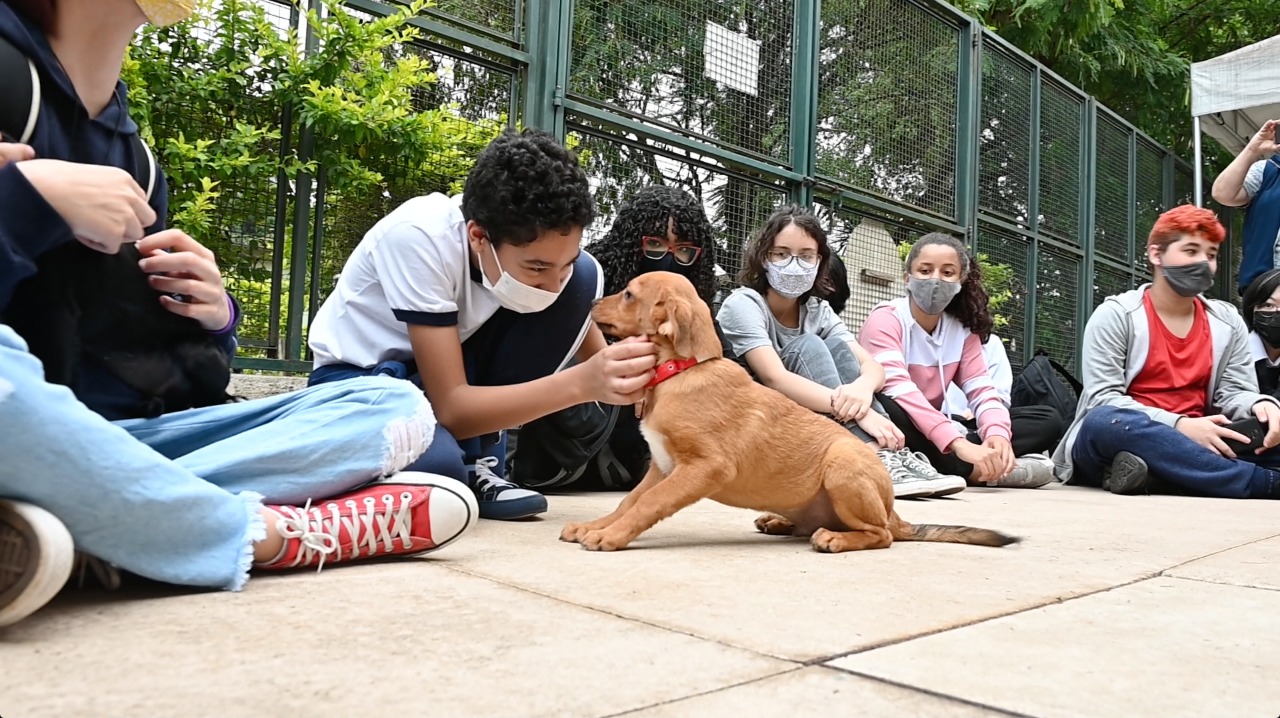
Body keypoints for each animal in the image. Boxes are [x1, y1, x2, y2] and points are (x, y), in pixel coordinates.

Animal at [560, 271, 1018, 550]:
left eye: (629, 294)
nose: (591, 302)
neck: (682, 370)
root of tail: (894, 510)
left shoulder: (703, 467)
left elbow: (647, 506)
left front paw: (612, 536)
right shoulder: (662, 466)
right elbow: (630, 501)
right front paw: (596, 526)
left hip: (843, 466)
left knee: (880, 535)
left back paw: (836, 539)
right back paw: (780, 523)